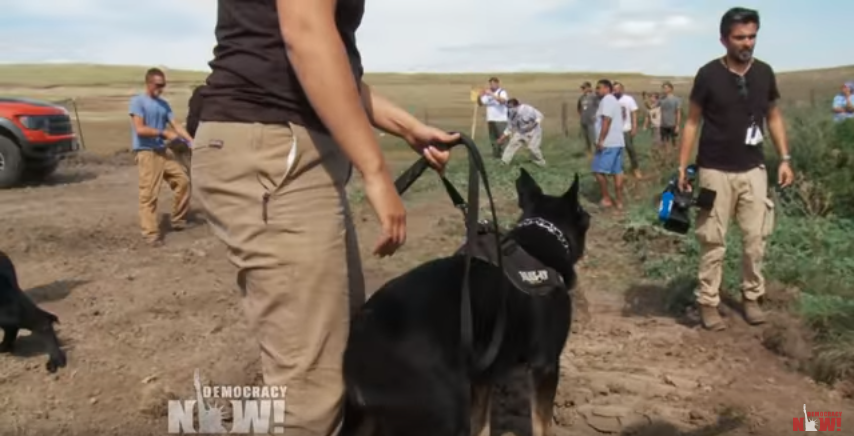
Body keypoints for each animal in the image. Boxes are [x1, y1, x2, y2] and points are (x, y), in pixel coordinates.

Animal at [344, 168, 592, 436]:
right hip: (445, 409)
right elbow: (542, 425)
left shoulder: (483, 376)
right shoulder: (545, 364)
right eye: (585, 215)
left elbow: (481, 424)